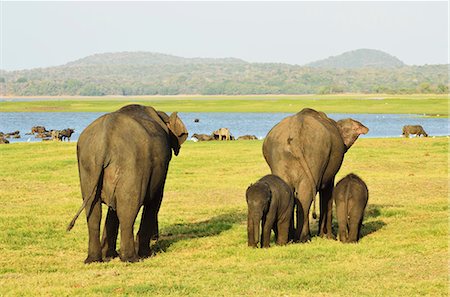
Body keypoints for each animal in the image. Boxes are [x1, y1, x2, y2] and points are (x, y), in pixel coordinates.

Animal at [67, 103, 188, 262]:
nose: (156, 237)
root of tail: (104, 140)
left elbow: (112, 208)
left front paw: (109, 255)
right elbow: (156, 199)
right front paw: (147, 254)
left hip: (88, 163)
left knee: (94, 211)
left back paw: (94, 259)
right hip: (133, 164)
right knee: (128, 208)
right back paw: (131, 258)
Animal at [262, 107, 368, 242]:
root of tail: (295, 133)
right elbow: (328, 191)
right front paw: (328, 236)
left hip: (278, 156)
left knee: (288, 191)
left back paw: (290, 237)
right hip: (315, 155)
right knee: (305, 195)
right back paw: (303, 237)